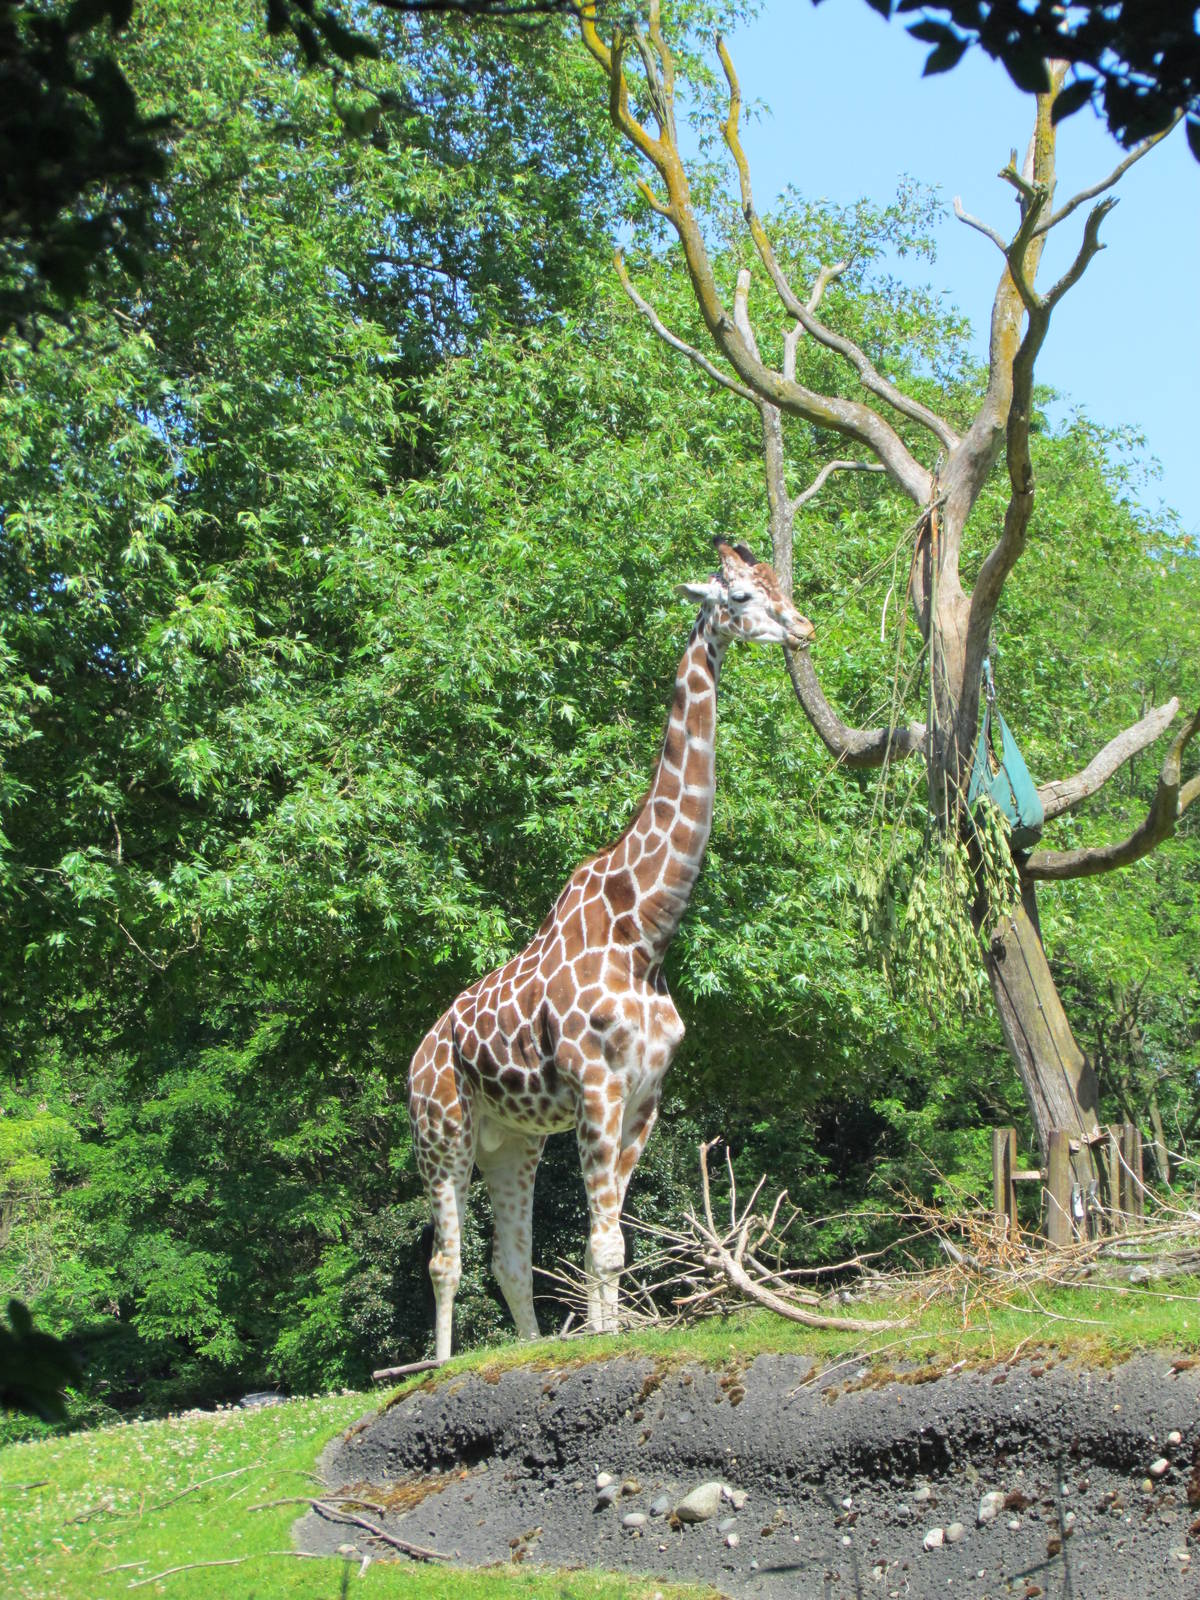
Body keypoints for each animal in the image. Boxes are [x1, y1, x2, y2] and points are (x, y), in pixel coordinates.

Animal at [408, 541, 815, 1359]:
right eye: (743, 596)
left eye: (778, 584)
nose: (804, 628)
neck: (645, 929)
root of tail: (414, 1060)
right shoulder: (595, 1085)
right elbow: (601, 1243)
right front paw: (604, 1342)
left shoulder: (643, 1094)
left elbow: (611, 1235)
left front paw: (602, 1338)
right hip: (443, 1135)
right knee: (446, 1259)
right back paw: (435, 1366)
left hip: (511, 1141)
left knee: (508, 1258)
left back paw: (533, 1348)